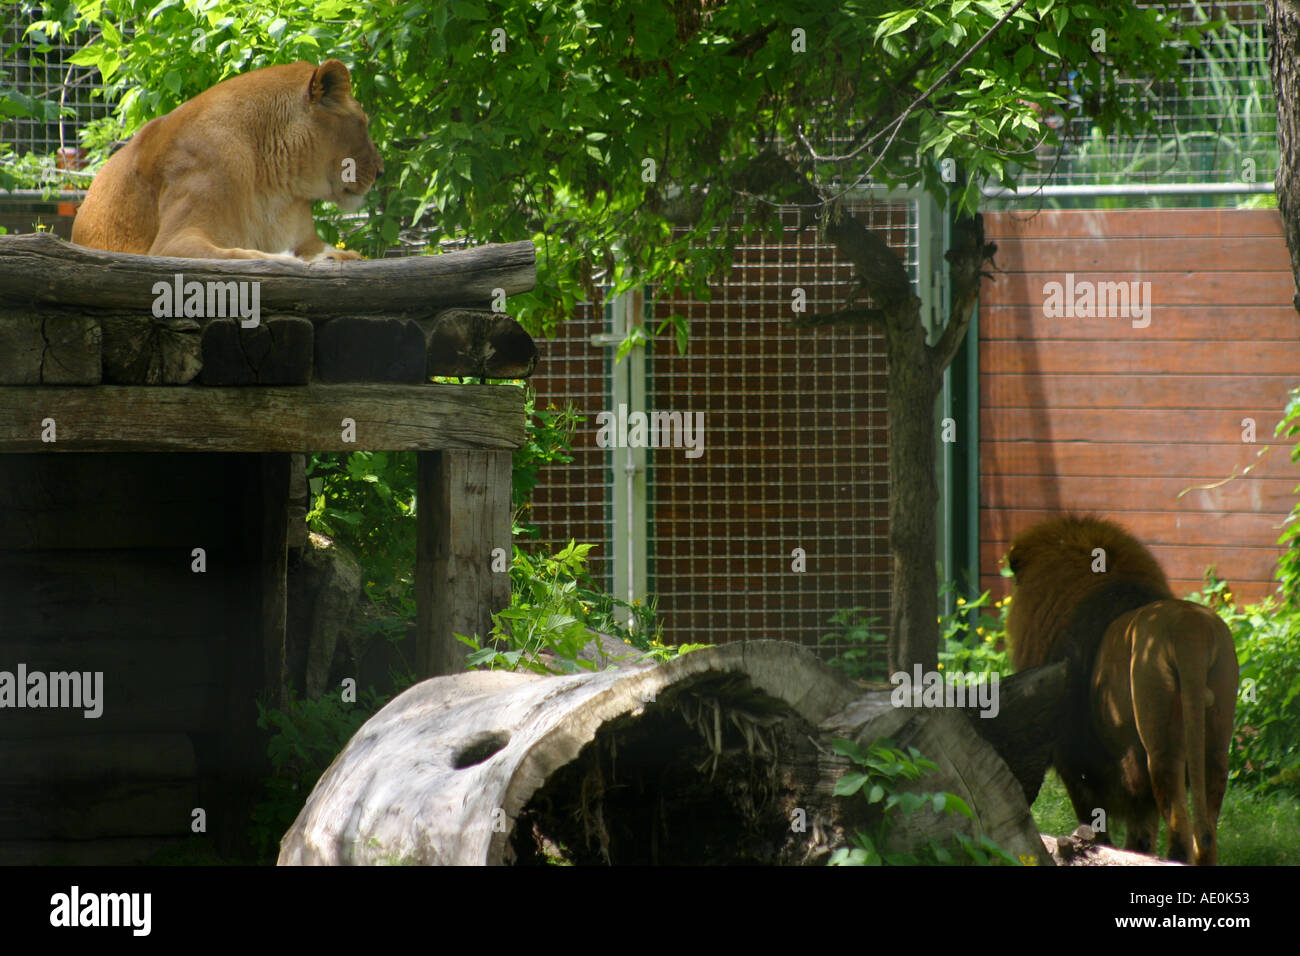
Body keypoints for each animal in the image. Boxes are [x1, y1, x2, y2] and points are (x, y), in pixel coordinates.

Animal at [72, 59, 382, 261]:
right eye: (364, 124)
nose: (381, 172)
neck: (274, 186)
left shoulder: (307, 239)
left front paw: (341, 255)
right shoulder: (172, 244)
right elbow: (251, 257)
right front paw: (304, 259)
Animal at [1005, 514, 1238, 864]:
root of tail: (1190, 634)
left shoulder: (1076, 761)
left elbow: (1100, 824)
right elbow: (1139, 831)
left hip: (1160, 742)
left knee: (1179, 827)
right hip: (1215, 740)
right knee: (1207, 830)